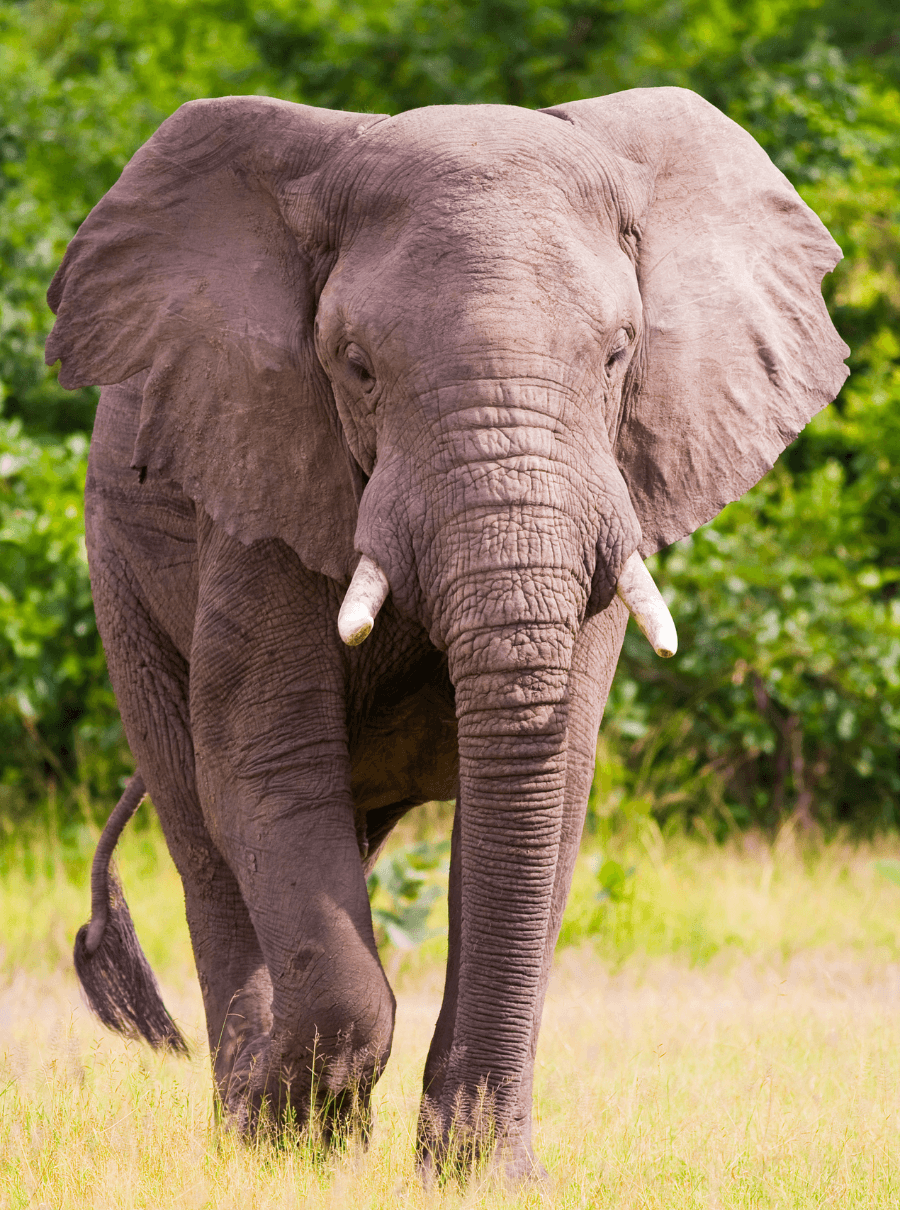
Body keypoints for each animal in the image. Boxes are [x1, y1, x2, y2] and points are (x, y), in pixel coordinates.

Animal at [45, 87, 846, 1180]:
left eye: (618, 355)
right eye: (356, 366)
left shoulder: (614, 488)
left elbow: (548, 791)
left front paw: (484, 1177)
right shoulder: (260, 462)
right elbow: (263, 762)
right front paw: (295, 1140)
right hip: (121, 562)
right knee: (202, 827)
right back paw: (254, 1125)